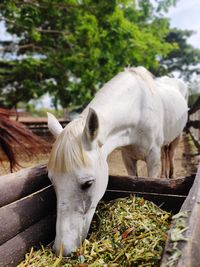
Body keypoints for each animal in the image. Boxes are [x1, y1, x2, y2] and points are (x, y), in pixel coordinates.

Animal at [47, 66, 188, 256]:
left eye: (88, 183)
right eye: (52, 181)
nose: (62, 249)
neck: (139, 109)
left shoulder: (153, 158)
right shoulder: (127, 158)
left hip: (176, 138)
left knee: (170, 156)